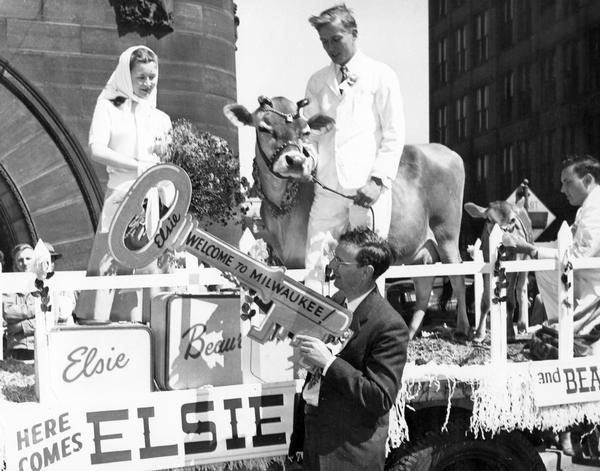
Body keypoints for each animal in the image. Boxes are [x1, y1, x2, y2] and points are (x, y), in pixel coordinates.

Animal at [224, 97, 468, 340]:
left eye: (305, 131)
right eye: (263, 128)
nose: (296, 161)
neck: (282, 214)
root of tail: (444, 149)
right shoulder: (290, 259)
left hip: (446, 233)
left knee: (458, 277)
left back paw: (463, 329)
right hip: (418, 251)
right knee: (424, 286)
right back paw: (409, 332)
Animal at [464, 200, 536, 342]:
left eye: (512, 220)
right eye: (488, 219)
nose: (503, 234)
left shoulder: (514, 266)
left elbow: (510, 302)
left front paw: (510, 332)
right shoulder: (486, 268)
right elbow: (485, 301)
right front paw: (479, 334)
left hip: (526, 260)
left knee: (521, 289)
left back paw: (521, 325)